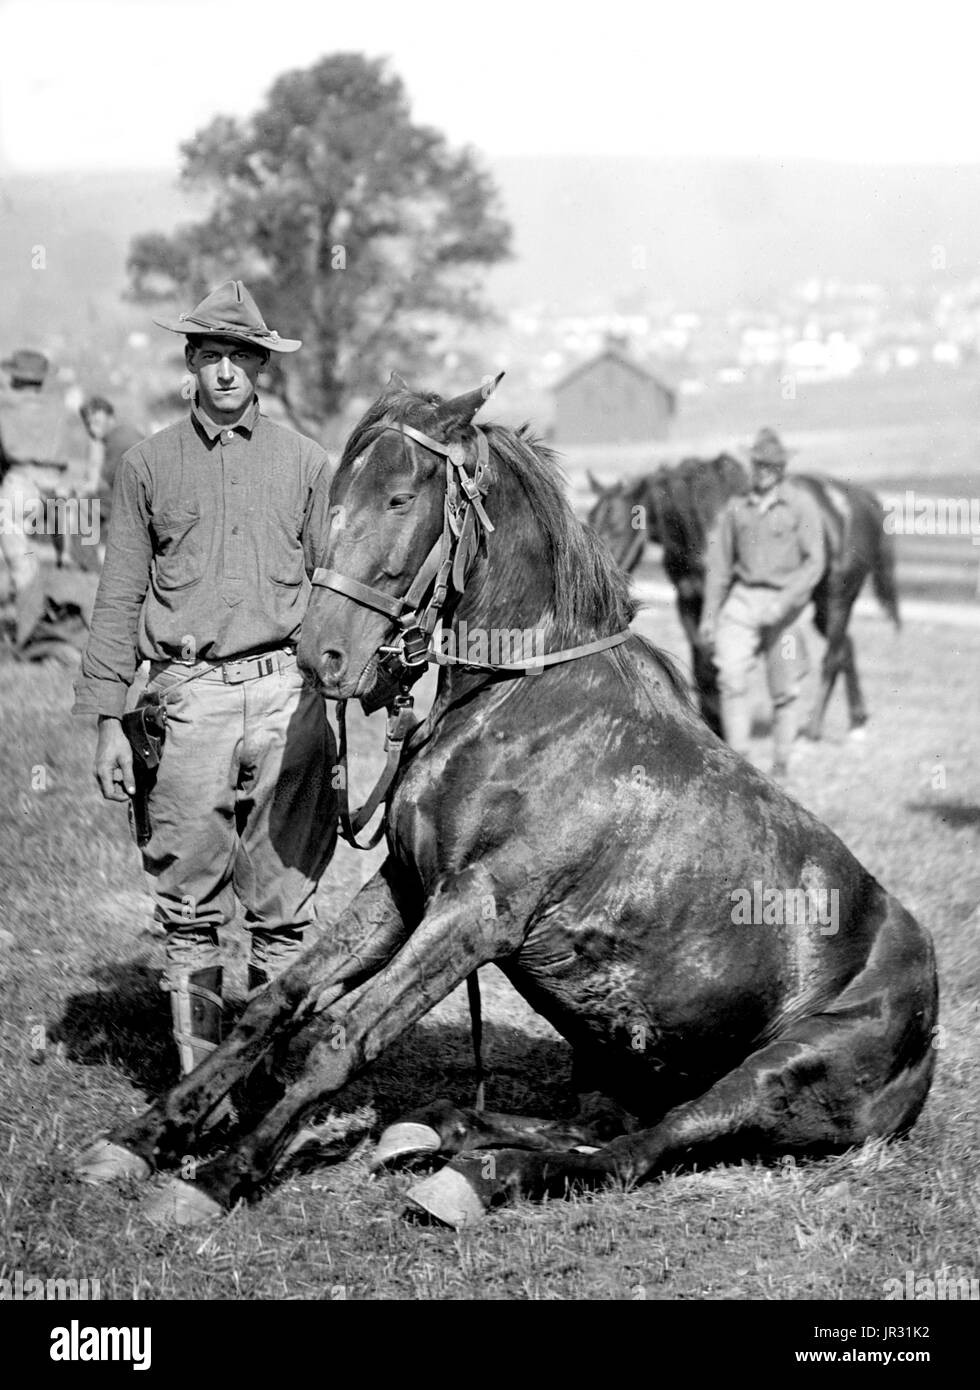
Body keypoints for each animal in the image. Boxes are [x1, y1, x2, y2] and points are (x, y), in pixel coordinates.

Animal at [583, 455, 900, 739]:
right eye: (590, 521)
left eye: (616, 528)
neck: (702, 521)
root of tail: (864, 501)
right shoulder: (689, 602)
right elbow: (702, 668)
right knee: (846, 646)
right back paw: (857, 721)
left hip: (837, 598)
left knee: (833, 655)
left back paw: (813, 728)